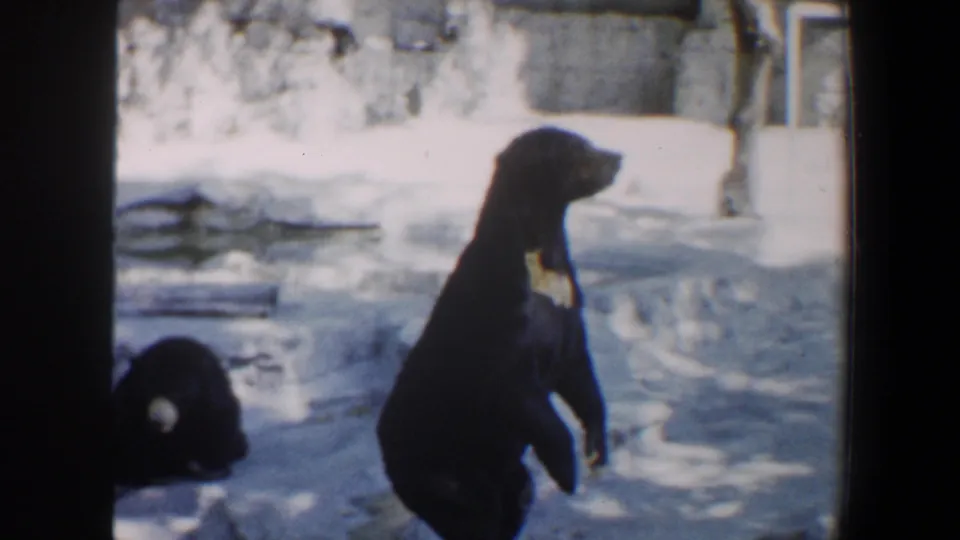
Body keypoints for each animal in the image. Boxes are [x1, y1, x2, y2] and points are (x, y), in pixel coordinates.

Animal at [112, 336, 249, 492]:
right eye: (148, 391)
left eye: (177, 393)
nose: (158, 421)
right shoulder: (130, 407)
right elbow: (134, 438)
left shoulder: (212, 405)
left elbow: (218, 429)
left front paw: (211, 468)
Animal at [376, 126, 621, 539]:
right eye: (578, 150)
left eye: (588, 142)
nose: (617, 157)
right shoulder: (502, 325)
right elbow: (521, 392)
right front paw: (567, 472)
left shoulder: (567, 312)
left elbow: (581, 378)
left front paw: (596, 450)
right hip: (439, 464)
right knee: (472, 514)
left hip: (494, 469)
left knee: (514, 498)